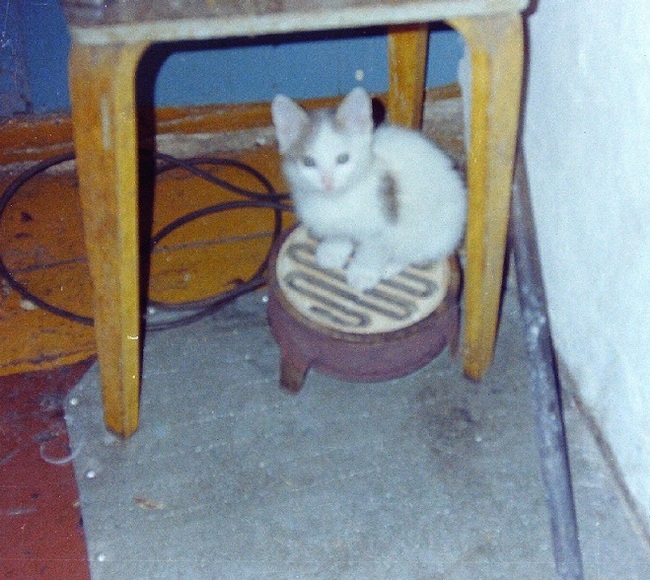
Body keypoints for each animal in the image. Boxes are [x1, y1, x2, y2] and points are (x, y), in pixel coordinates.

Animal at [270, 87, 466, 290]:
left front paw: (363, 272)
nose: (327, 182)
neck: (338, 199)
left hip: (429, 230)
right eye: (309, 162)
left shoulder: (383, 223)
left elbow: (373, 250)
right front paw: (334, 250)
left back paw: (393, 264)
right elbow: (339, 233)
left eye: (343, 159)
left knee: (415, 250)